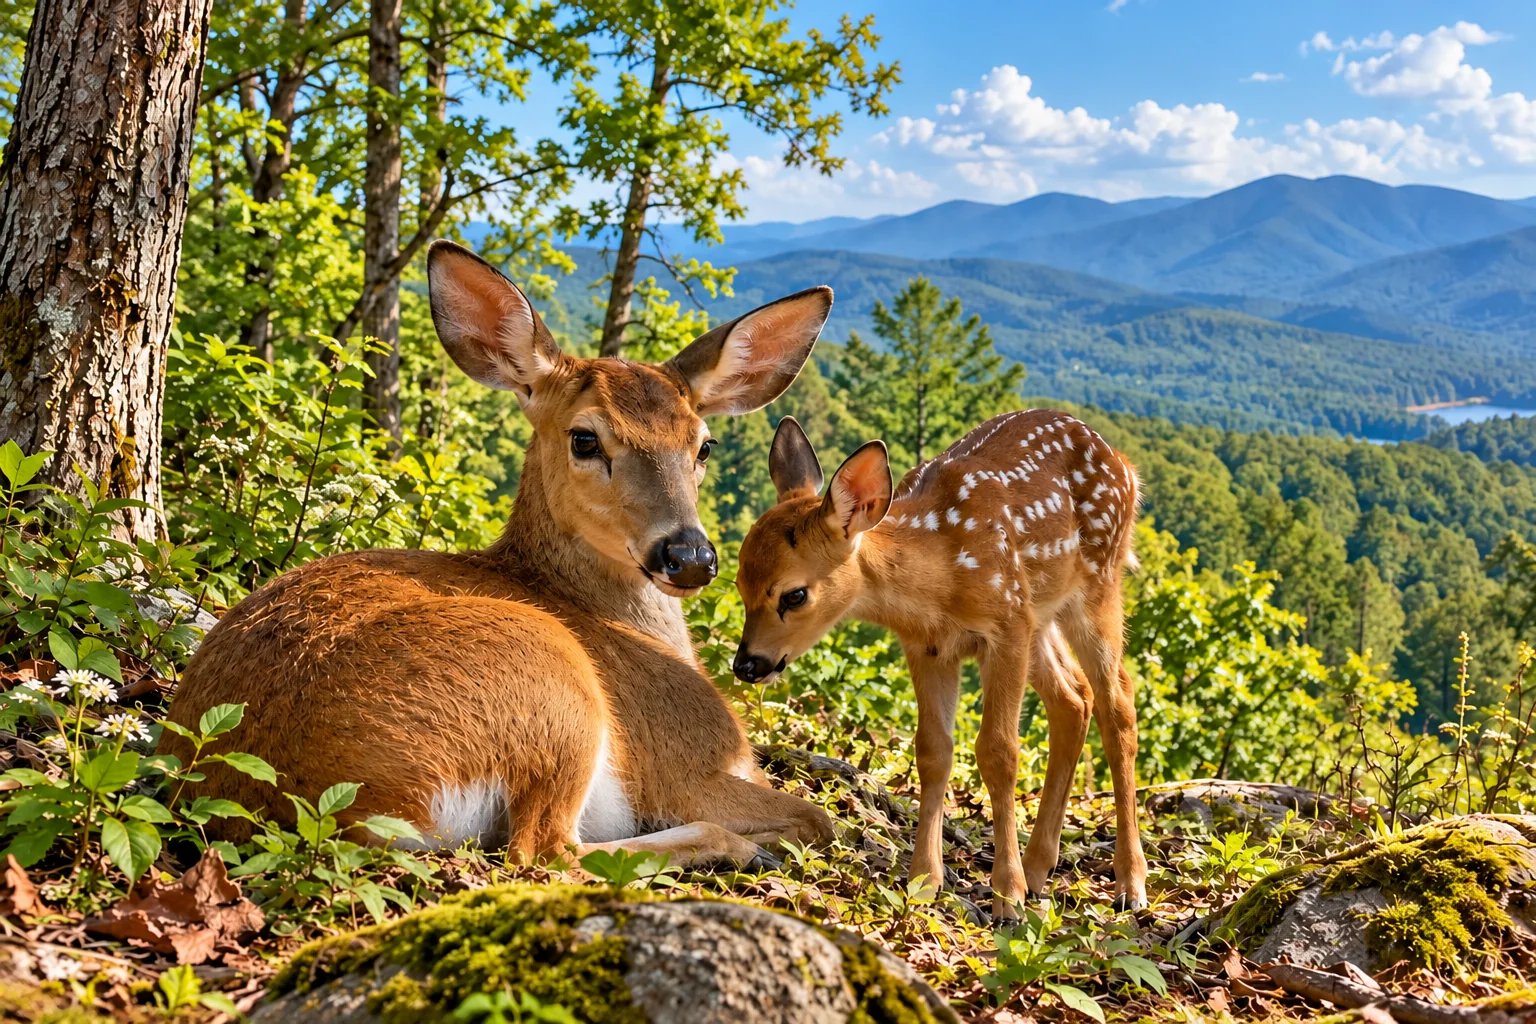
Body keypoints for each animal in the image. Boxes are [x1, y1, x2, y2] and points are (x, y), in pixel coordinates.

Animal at [159, 240, 837, 869]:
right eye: (585, 438)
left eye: (703, 445)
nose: (689, 555)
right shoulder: (681, 763)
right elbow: (817, 818)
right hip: (553, 690)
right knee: (545, 851)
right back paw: (743, 849)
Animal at [732, 411, 1149, 915]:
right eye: (738, 582)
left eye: (794, 595)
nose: (747, 665)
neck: (940, 575)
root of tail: (1126, 464)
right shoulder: (929, 647)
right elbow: (932, 752)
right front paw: (924, 881)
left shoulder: (1006, 624)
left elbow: (998, 752)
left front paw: (1006, 895)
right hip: (1042, 612)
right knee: (1074, 699)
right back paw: (1038, 869)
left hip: (1096, 584)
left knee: (1118, 704)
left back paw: (1129, 882)